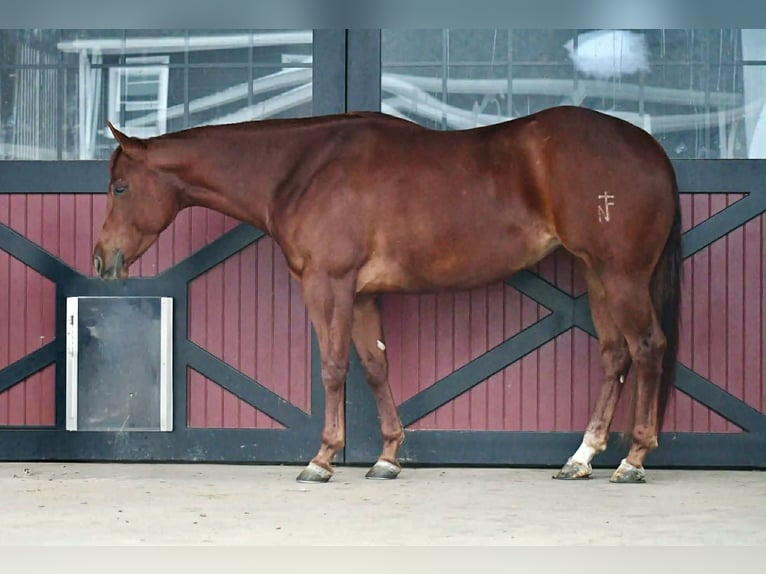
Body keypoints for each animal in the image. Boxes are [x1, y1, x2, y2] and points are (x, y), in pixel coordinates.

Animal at [93, 105, 682, 484]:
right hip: (598, 275)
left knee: (648, 348)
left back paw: (632, 460)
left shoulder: (328, 284)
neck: (302, 169)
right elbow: (376, 367)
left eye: (121, 187)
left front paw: (322, 459)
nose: (102, 260)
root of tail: (651, 149)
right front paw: (388, 457)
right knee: (615, 356)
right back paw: (581, 457)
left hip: (621, 274)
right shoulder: (360, 295)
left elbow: (333, 368)